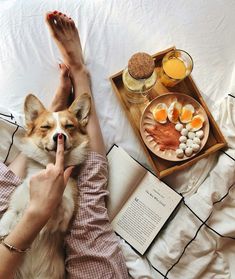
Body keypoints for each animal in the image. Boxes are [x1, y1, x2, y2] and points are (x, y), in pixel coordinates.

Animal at [0, 93, 91, 279]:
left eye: (69, 126)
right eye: (45, 127)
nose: (59, 136)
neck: (48, 166)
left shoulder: (62, 219)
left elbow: (63, 202)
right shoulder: (15, 205)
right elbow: (9, 215)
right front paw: (3, 230)